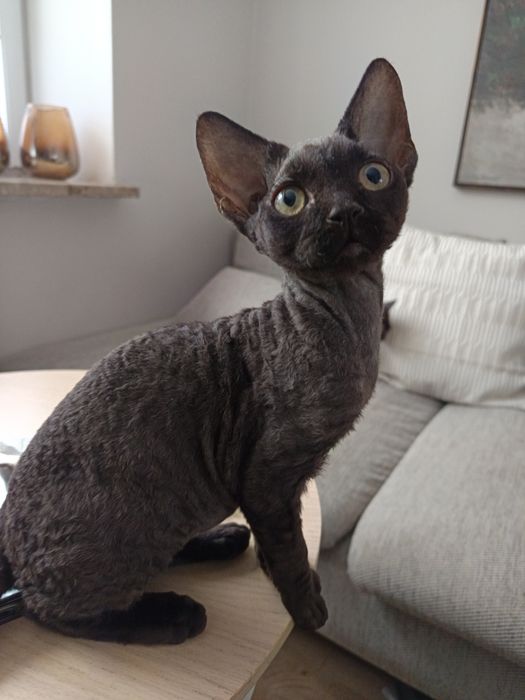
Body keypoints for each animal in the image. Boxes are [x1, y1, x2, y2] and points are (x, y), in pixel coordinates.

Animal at [0, 58, 416, 644]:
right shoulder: (267, 477)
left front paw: (275, 571)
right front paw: (307, 607)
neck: (350, 320)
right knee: (54, 610)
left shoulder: (284, 484)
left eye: (371, 176)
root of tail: (8, 544)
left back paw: (222, 540)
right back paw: (173, 614)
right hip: (123, 535)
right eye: (290, 199)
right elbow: (290, 551)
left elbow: (281, 544)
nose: (342, 211)